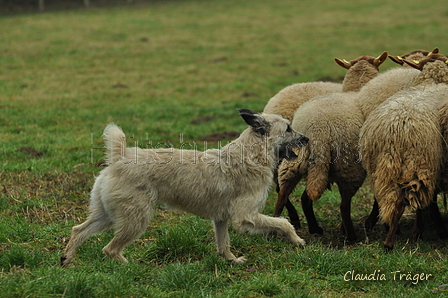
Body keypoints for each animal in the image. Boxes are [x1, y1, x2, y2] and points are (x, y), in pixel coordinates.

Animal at [60, 110, 308, 266]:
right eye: (288, 129)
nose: (306, 139)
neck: (251, 154)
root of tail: (121, 156)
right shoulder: (246, 216)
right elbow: (283, 223)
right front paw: (297, 240)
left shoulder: (221, 219)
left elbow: (223, 243)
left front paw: (231, 260)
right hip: (136, 218)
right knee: (109, 249)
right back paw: (129, 266)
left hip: (107, 214)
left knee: (78, 230)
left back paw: (66, 258)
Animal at [358, 54, 448, 250]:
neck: (431, 81)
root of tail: (394, 128)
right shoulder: (433, 167)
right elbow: (430, 202)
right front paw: (430, 229)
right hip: (417, 165)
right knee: (405, 200)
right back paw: (392, 241)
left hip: (378, 169)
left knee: (384, 198)